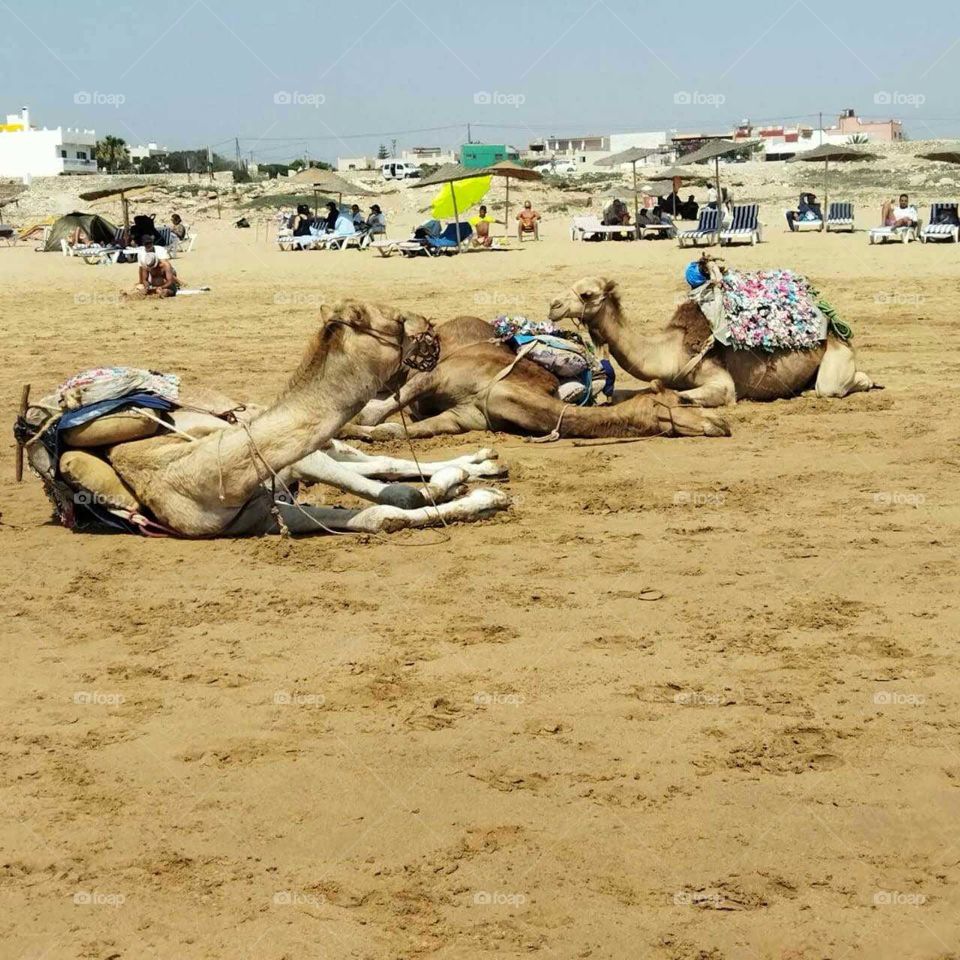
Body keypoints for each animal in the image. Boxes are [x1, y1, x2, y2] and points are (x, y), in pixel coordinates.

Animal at [26, 300, 510, 536]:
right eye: (395, 320)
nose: (430, 323)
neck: (201, 473)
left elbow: (389, 499)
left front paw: (481, 493)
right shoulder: (258, 516)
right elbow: (385, 512)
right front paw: (479, 496)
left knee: (374, 464)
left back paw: (477, 464)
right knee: (380, 471)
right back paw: (468, 472)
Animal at [344, 316, 728, 444]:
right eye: (682, 400)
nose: (722, 424)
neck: (493, 391)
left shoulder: (461, 418)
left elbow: (390, 430)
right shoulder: (436, 375)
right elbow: (372, 415)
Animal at [548, 274, 876, 404]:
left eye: (586, 294)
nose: (553, 305)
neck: (670, 350)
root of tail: (832, 323)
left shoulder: (721, 381)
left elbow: (683, 395)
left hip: (836, 355)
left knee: (834, 386)